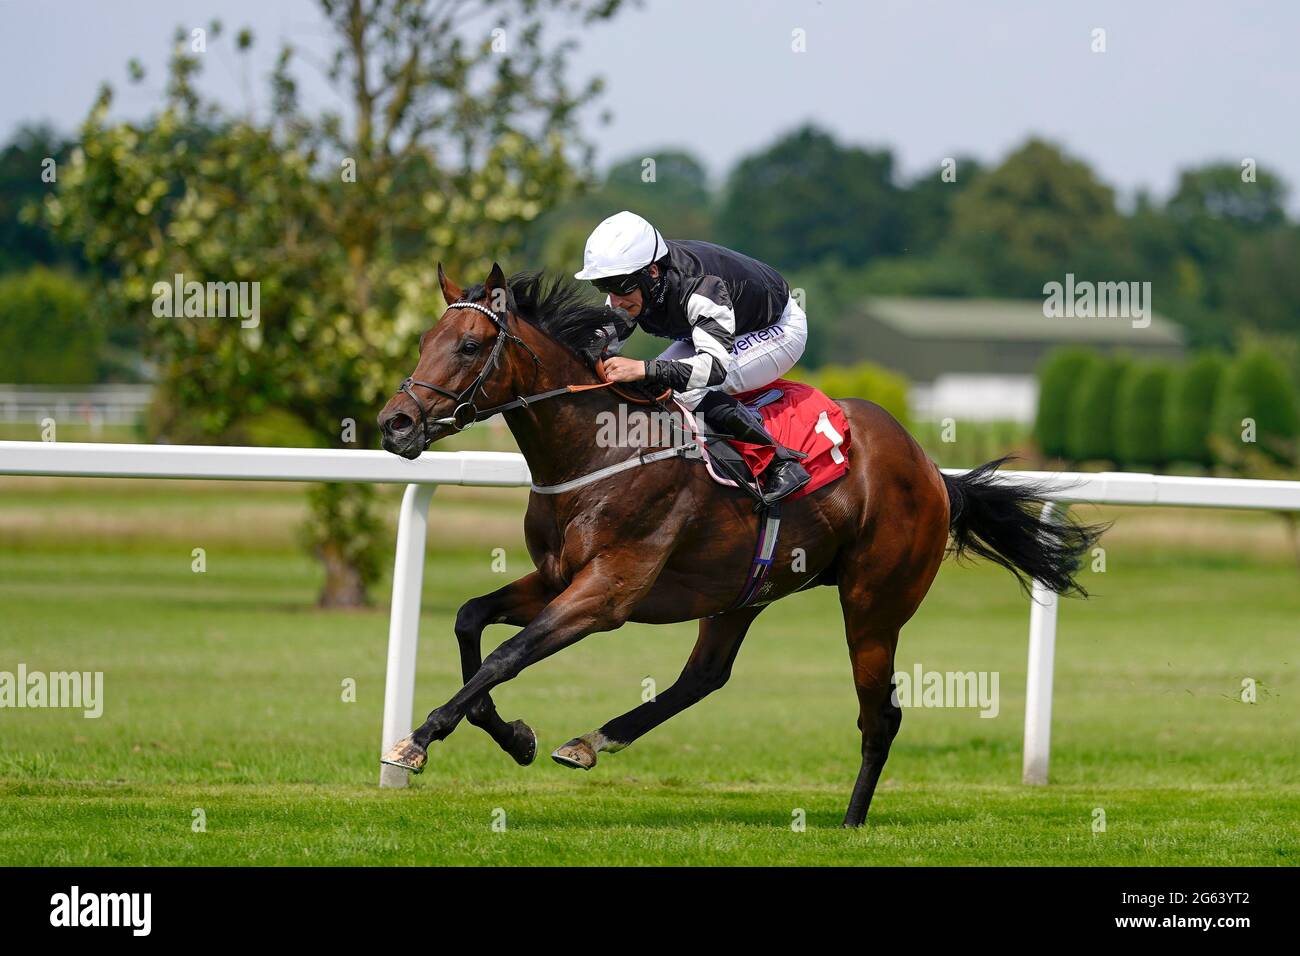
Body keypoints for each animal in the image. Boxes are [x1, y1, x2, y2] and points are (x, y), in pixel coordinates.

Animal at [377, 264, 1097, 832]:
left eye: (470, 345)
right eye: (424, 341)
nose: (395, 423)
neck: (599, 448)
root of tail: (932, 470)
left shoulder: (607, 592)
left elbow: (506, 655)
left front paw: (416, 741)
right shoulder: (557, 577)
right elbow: (471, 618)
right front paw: (513, 736)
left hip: (873, 605)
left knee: (880, 717)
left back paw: (851, 819)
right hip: (742, 592)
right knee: (705, 676)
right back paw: (593, 740)